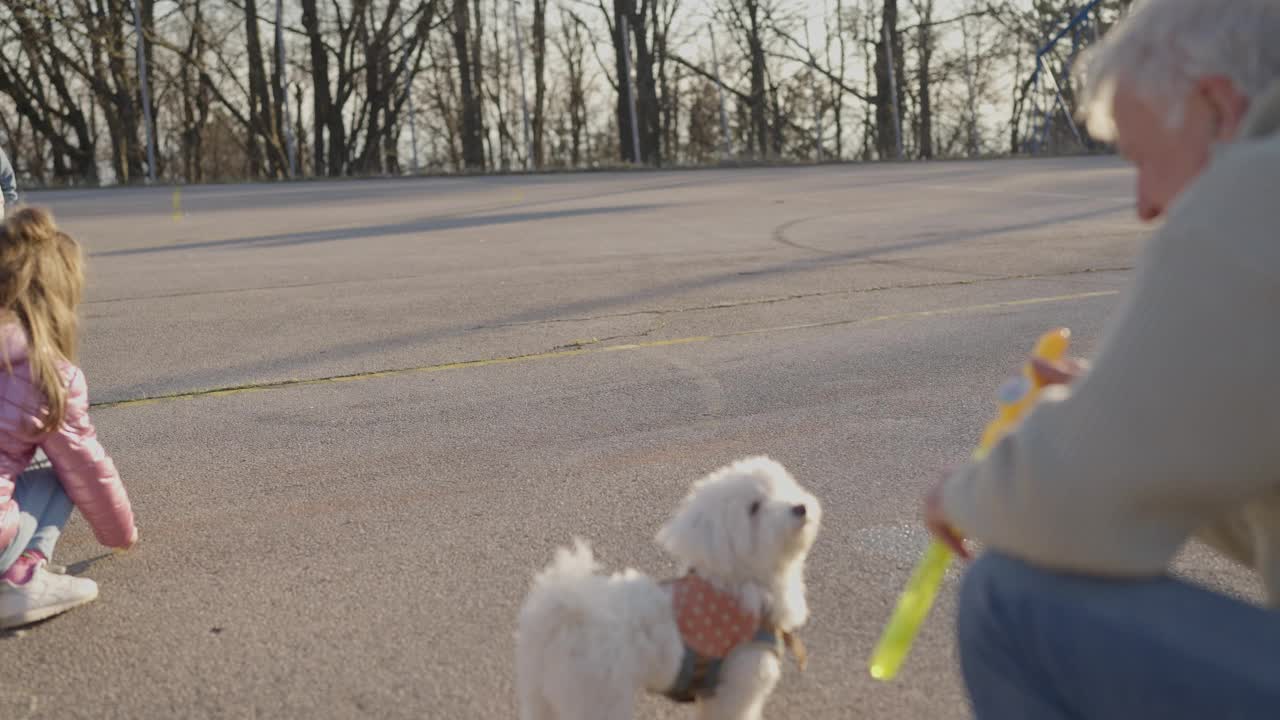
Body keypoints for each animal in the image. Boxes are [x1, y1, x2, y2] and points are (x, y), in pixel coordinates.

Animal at [514, 456, 824, 712]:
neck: (736, 578)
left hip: (540, 696)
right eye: (754, 508)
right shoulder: (736, 686)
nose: (799, 508)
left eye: (785, 488)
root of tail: (564, 613)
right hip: (598, 696)